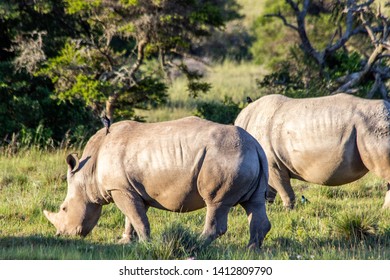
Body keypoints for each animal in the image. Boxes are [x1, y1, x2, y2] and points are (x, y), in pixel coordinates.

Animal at [43, 117, 272, 248]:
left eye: (63, 209)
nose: (60, 235)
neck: (88, 173)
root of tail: (255, 145)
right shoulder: (130, 188)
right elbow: (132, 218)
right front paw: (125, 241)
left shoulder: (120, 188)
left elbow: (137, 218)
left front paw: (145, 243)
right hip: (249, 156)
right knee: (254, 203)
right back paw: (252, 250)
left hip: (225, 157)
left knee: (216, 203)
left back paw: (197, 244)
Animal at [233, 93, 390, 209]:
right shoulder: (271, 166)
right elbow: (269, 193)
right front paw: (268, 210)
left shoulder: (273, 165)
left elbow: (284, 190)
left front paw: (288, 211)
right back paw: (384, 211)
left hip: (373, 128)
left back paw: (383, 211)